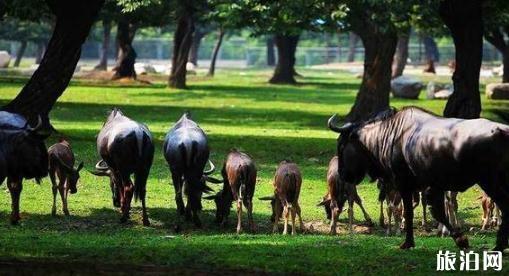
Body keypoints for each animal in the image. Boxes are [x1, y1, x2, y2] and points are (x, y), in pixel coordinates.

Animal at [328, 106, 508, 252]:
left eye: (341, 144)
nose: (342, 174)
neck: (392, 134)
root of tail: (501, 130)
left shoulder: (405, 184)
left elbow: (411, 212)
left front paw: (408, 242)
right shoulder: (432, 186)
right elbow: (438, 211)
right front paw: (458, 238)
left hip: (489, 181)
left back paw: (499, 245)